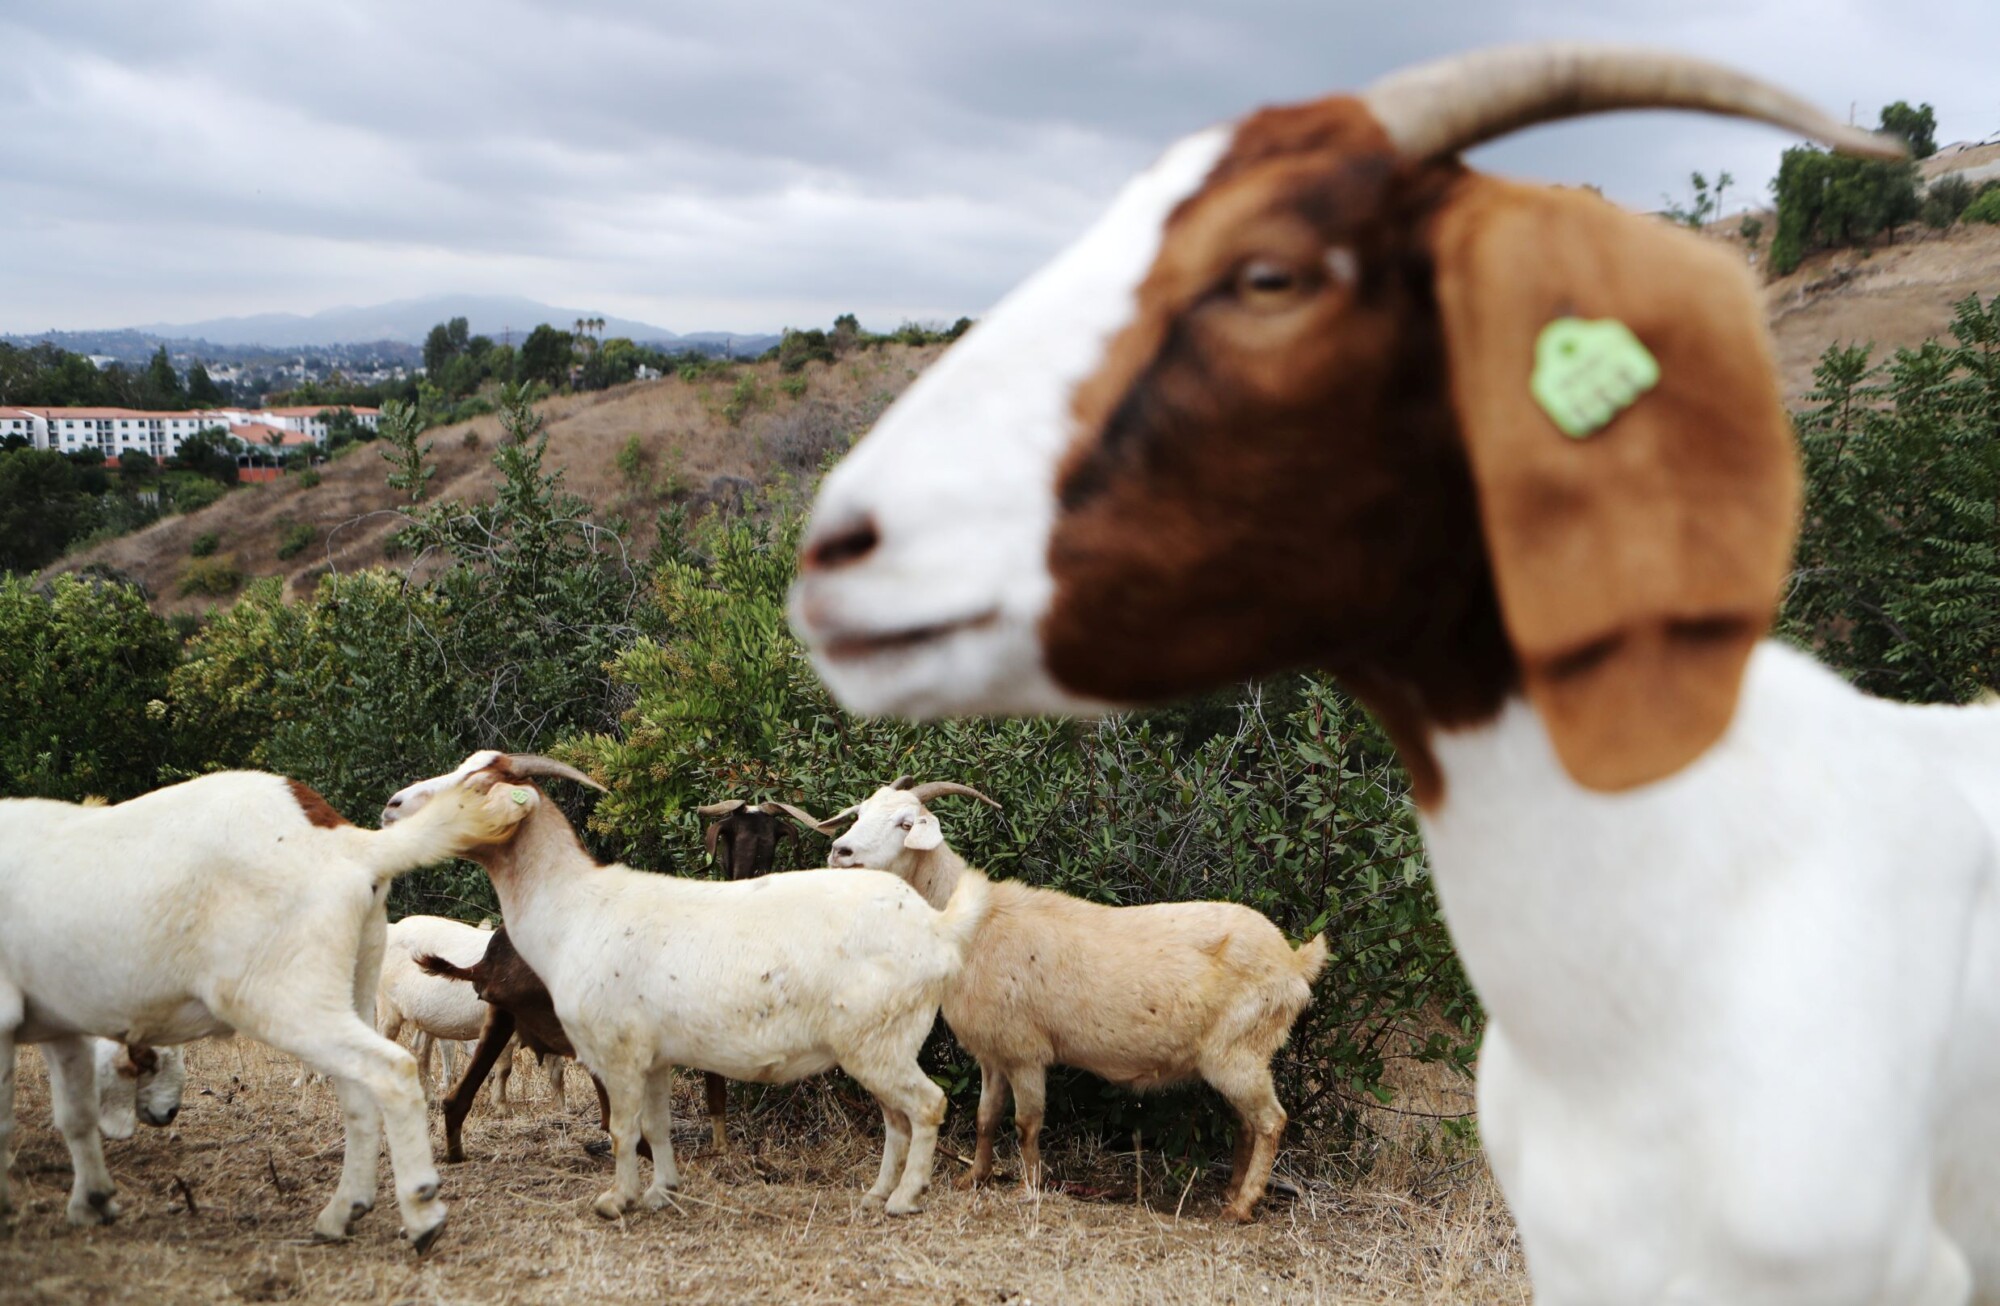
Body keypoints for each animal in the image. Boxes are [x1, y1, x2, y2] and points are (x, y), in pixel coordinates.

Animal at [0, 771, 472, 1248]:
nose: (168, 1114)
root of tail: (347, 843)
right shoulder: (63, 1028)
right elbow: (76, 1116)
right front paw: (91, 1202)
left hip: (284, 998)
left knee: (392, 1070)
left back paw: (421, 1211)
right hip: (352, 988)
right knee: (358, 1093)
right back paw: (343, 1212)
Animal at [382, 751, 988, 1218]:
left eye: (478, 786)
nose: (393, 807)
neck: (576, 906)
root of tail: (934, 926)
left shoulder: (616, 1051)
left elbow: (622, 1128)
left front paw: (616, 1200)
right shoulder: (653, 1056)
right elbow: (655, 1126)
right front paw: (660, 1191)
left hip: (878, 1043)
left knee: (928, 1105)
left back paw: (904, 1199)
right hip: (885, 1044)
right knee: (897, 1118)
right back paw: (877, 1193)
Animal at [824, 778, 1325, 1221]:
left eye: (906, 823)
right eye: (860, 813)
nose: (840, 851)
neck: (975, 923)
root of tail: (1295, 962)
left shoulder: (1026, 1052)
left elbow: (1026, 1124)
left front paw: (1029, 1189)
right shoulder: (993, 1052)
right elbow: (986, 1117)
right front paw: (974, 1178)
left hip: (1240, 1049)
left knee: (1271, 1120)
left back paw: (1241, 1207)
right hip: (1241, 1055)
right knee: (1246, 1123)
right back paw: (1233, 1193)